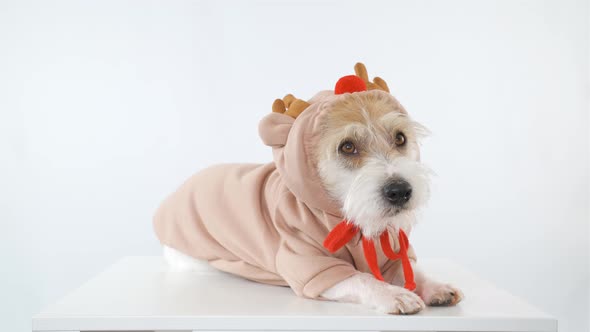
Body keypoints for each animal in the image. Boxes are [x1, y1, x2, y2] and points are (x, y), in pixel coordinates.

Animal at [155, 62, 464, 314]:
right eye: (347, 147)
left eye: (400, 138)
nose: (400, 191)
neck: (350, 220)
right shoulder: (313, 265)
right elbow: (363, 278)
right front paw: (393, 294)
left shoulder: (391, 252)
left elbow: (413, 271)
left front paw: (434, 286)